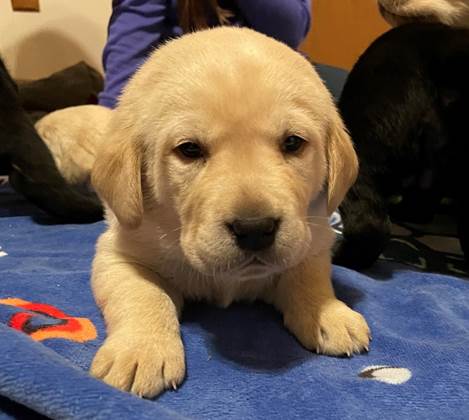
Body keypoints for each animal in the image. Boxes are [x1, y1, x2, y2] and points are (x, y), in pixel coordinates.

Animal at [90, 25, 370, 398]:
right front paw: (139, 351)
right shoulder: (120, 252)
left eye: (293, 143)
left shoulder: (313, 239)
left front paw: (330, 314)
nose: (255, 228)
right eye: (189, 150)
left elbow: (309, 277)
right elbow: (143, 294)